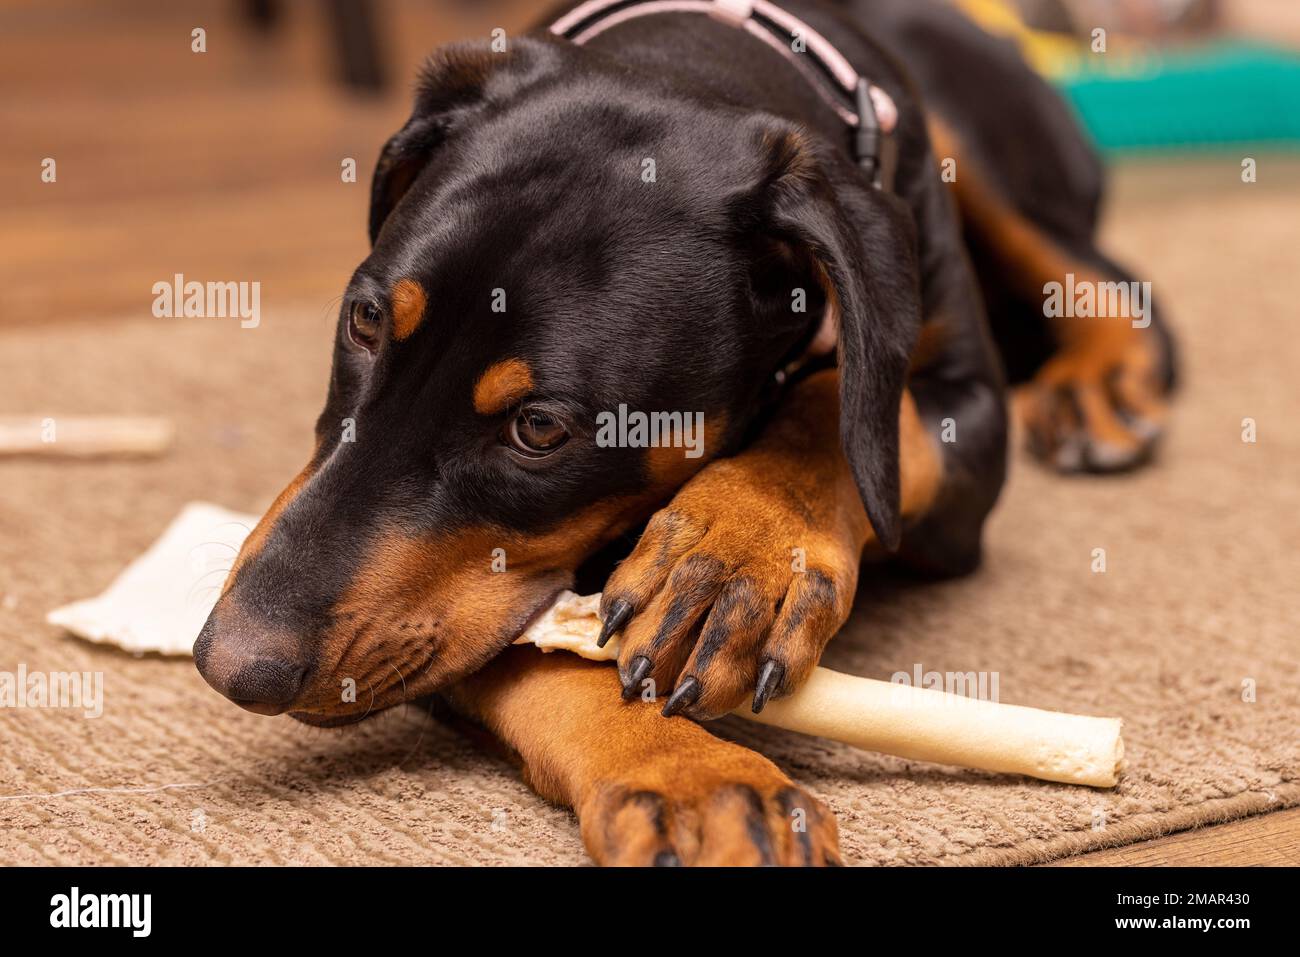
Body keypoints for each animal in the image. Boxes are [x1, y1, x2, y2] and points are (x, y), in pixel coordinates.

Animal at [192, 0, 1180, 868]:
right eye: (364, 320)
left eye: (539, 428)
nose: (232, 663)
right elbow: (531, 646)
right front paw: (694, 782)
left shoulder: (964, 417)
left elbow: (844, 406)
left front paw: (737, 560)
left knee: (1106, 278)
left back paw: (1100, 389)